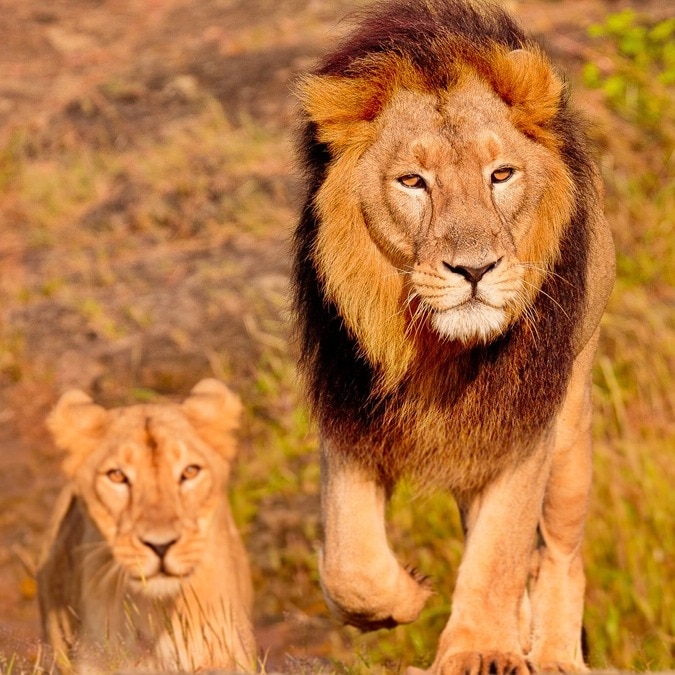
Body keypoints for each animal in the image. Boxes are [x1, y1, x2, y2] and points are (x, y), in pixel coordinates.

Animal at [292, 1, 615, 673]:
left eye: (502, 174)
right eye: (413, 181)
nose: (474, 269)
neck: (439, 348)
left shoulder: (525, 422)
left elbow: (502, 548)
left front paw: (480, 649)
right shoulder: (347, 408)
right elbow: (351, 565)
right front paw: (407, 596)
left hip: (572, 426)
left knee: (560, 553)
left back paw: (554, 654)